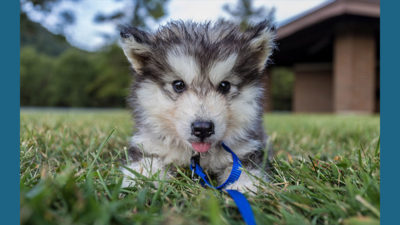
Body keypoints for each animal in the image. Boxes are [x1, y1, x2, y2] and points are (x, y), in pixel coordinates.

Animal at [119, 20, 276, 192]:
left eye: (225, 85)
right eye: (178, 85)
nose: (203, 128)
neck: (196, 155)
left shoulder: (245, 149)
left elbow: (243, 169)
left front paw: (245, 187)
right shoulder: (149, 145)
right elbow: (145, 165)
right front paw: (140, 183)